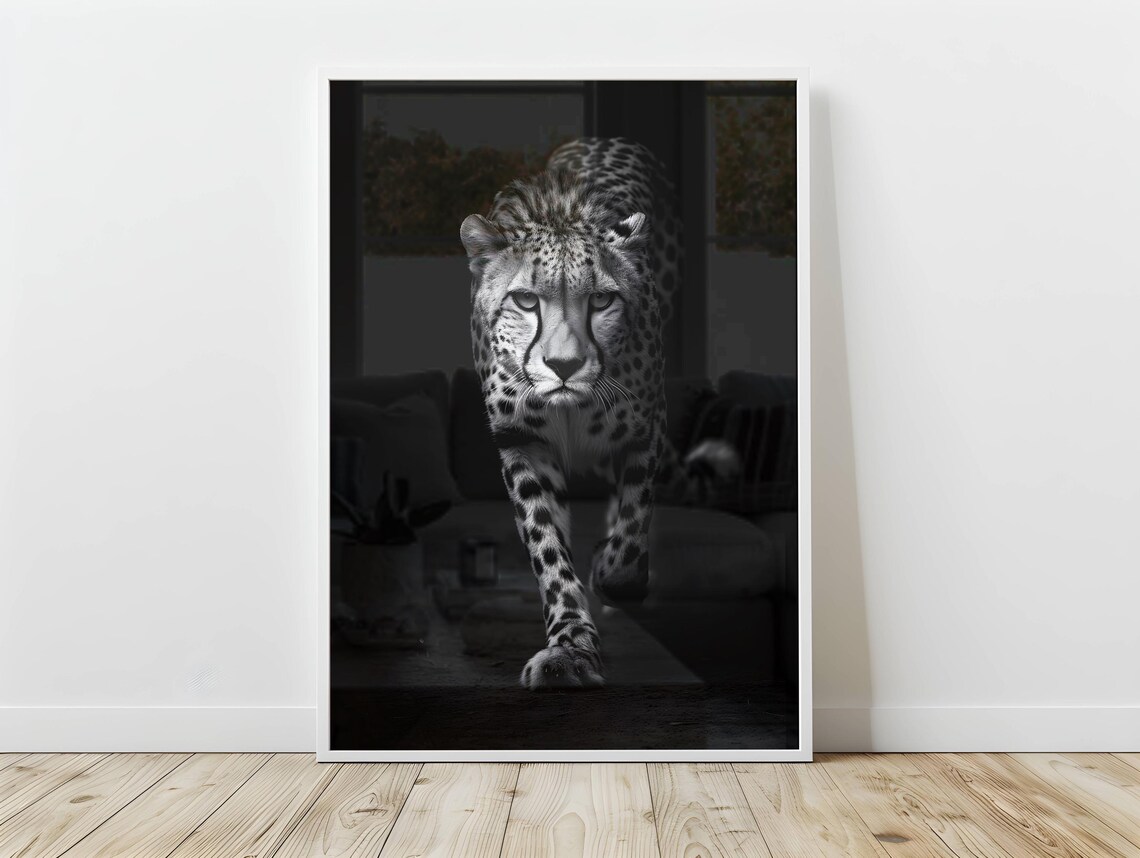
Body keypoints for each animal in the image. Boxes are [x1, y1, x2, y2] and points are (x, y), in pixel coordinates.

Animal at [459, 137, 736, 691]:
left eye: (603, 300)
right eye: (525, 300)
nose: (564, 366)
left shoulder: (645, 429)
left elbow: (631, 532)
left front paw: (610, 571)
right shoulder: (522, 441)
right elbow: (547, 546)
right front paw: (570, 646)